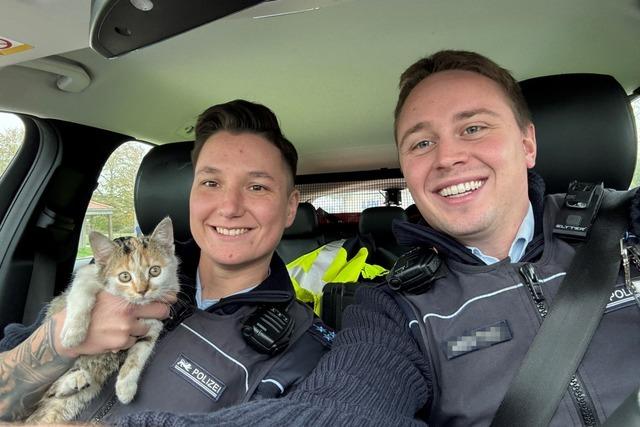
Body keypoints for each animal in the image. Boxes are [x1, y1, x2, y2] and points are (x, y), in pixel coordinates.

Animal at [25, 217, 180, 424]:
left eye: (155, 271)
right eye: (124, 276)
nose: (142, 291)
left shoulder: (155, 322)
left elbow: (141, 351)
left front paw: (125, 387)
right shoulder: (87, 274)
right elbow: (81, 293)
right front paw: (74, 333)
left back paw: (72, 383)